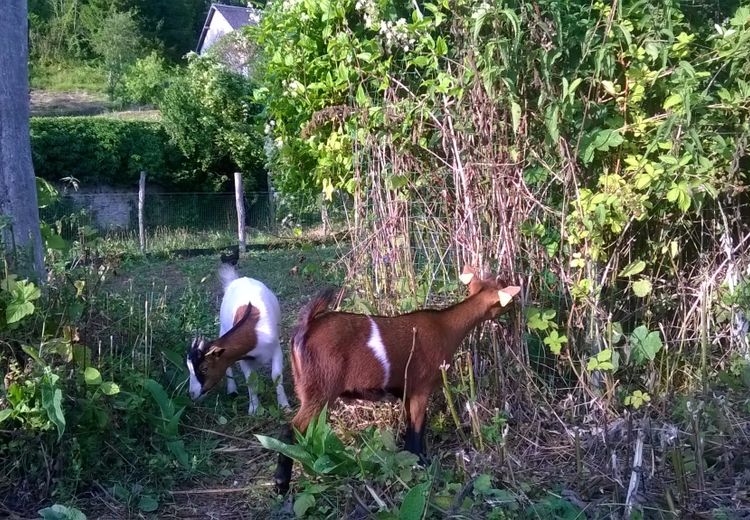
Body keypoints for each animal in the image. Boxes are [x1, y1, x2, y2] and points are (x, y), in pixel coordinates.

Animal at [276, 268, 524, 492]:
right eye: (506, 292)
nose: (518, 305)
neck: (446, 328)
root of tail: (307, 326)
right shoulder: (421, 387)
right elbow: (418, 426)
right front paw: (421, 463)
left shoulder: (407, 390)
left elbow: (409, 424)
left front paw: (412, 458)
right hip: (320, 389)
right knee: (291, 428)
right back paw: (281, 484)